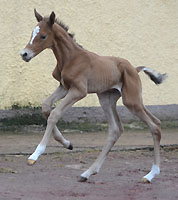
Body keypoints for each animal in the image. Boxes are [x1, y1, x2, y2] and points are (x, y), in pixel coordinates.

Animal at [20, 10, 167, 184]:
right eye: (32, 33)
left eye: (43, 36)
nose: (24, 54)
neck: (71, 58)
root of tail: (135, 69)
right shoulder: (64, 87)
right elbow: (45, 106)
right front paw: (67, 143)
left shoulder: (79, 91)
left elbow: (55, 113)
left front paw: (35, 154)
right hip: (108, 99)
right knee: (118, 129)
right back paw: (88, 173)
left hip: (131, 101)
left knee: (154, 126)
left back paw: (151, 174)